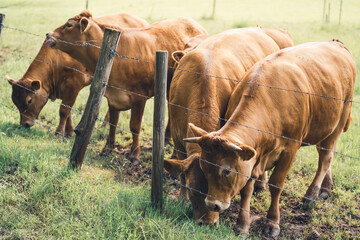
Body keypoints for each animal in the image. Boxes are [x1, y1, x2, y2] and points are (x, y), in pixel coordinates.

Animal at [6, 13, 148, 137]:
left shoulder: (73, 85)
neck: (56, 58)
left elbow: (64, 110)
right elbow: (68, 111)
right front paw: (68, 132)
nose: (24, 124)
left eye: (29, 100)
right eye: (15, 102)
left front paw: (59, 133)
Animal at [45, 10, 208, 164]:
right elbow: (113, 123)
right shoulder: (113, 96)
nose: (48, 34)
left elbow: (135, 127)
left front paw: (134, 155)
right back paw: (166, 139)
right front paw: (107, 149)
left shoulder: (139, 98)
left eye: (68, 25)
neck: (118, 55)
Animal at [165, 27, 294, 226]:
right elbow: (181, 173)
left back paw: (261, 183)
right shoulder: (178, 139)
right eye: (194, 190)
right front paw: (182, 198)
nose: (208, 223)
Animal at [183, 40, 354, 236]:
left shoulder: (290, 150)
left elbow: (276, 184)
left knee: (325, 157)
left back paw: (311, 194)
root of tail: (336, 43)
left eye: (226, 170)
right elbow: (246, 190)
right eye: (204, 167)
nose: (213, 204)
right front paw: (243, 225)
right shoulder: (252, 158)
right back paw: (326, 188)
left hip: (339, 121)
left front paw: (272, 223)